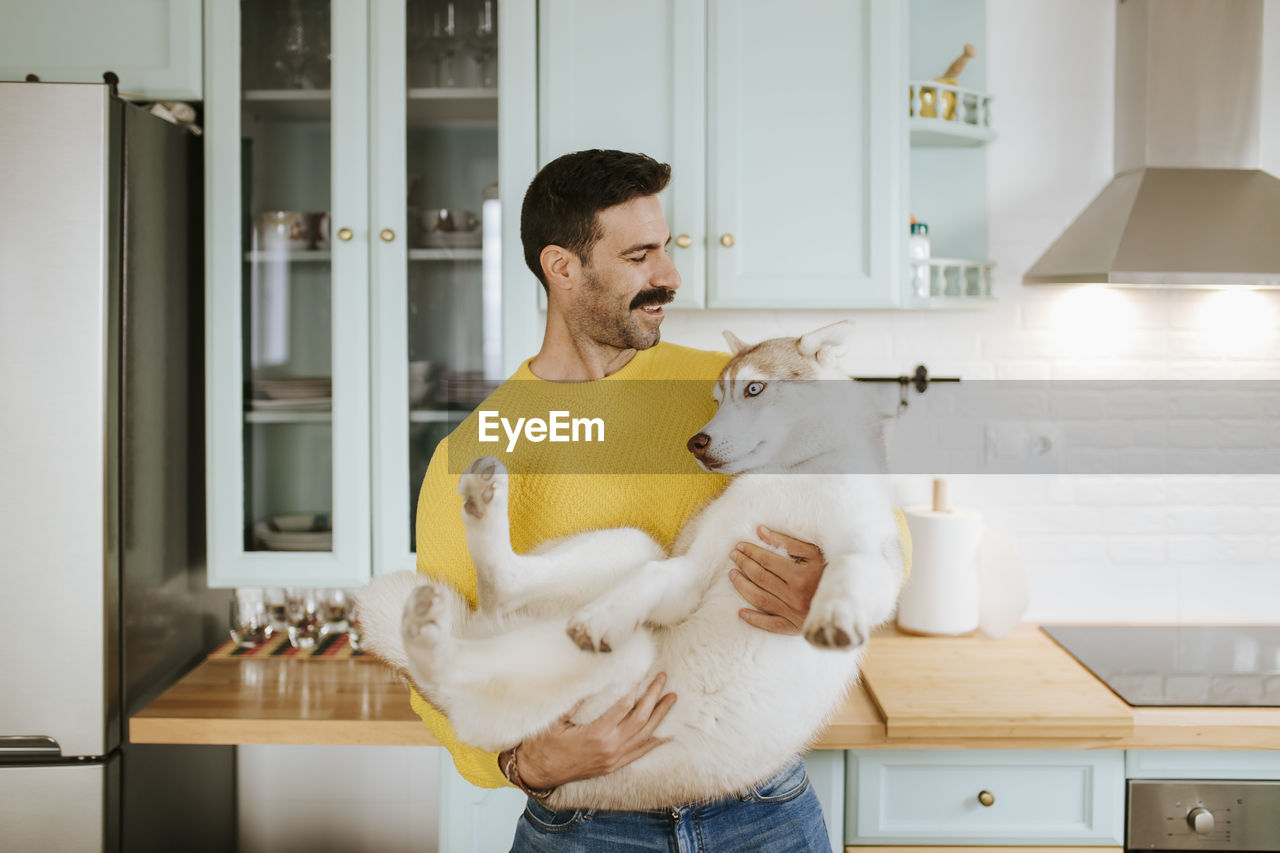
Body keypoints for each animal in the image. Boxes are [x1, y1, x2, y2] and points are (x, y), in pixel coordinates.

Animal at [355, 322, 906, 809]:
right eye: (717, 399)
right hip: (626, 588)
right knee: (490, 619)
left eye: (754, 388)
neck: (795, 475)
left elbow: (848, 571)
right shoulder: (690, 570)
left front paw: (835, 614)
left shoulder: (872, 556)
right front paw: (602, 616)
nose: (697, 442)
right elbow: (657, 576)